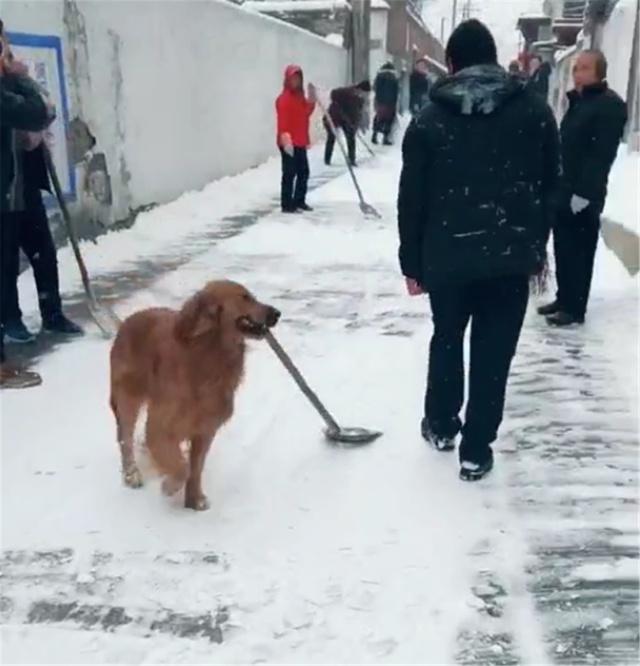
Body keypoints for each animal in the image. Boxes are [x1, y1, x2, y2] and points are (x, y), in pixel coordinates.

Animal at [109, 278, 278, 508]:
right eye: (245, 297)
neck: (209, 356)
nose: (277, 313)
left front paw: (194, 499)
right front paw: (170, 486)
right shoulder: (160, 426)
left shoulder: (205, 430)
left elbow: (195, 468)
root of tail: (125, 322)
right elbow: (182, 467)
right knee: (124, 438)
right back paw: (131, 474)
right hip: (128, 397)